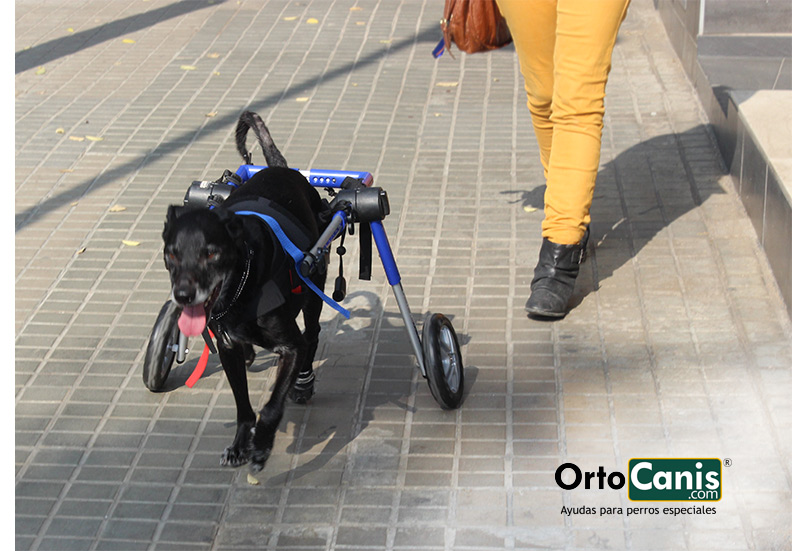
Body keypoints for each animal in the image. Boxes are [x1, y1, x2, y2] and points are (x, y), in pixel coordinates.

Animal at [162, 113, 326, 474]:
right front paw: (240, 444)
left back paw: (304, 380)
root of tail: (283, 168)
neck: (240, 293)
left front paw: (262, 444)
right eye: (172, 255)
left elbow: (272, 406)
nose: (183, 295)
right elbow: (243, 406)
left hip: (315, 287)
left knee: (313, 333)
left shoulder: (290, 348)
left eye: (211, 253)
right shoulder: (228, 349)